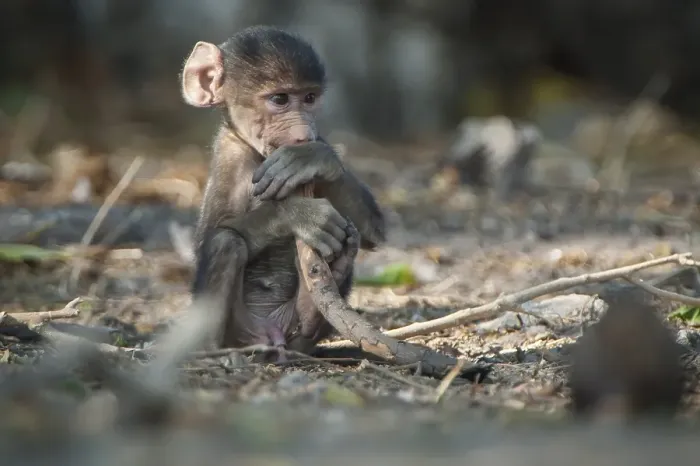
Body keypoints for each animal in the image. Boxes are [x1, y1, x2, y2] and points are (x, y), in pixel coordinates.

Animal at [180, 26, 386, 360]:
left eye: (309, 98)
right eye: (280, 99)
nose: (302, 134)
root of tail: (271, 333)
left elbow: (373, 230)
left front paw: (313, 159)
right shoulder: (230, 157)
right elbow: (211, 235)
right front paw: (298, 215)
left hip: (294, 330)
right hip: (238, 330)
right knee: (226, 243)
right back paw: (212, 352)